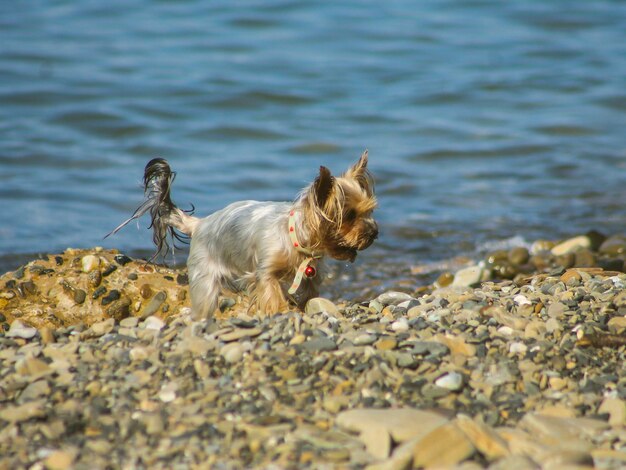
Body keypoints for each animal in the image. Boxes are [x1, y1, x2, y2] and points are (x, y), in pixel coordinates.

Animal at [108, 151, 376, 320]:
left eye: (369, 211)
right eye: (349, 215)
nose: (374, 232)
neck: (296, 240)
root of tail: (200, 224)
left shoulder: (311, 276)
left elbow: (309, 294)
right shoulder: (265, 272)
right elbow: (271, 292)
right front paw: (280, 310)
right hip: (205, 277)